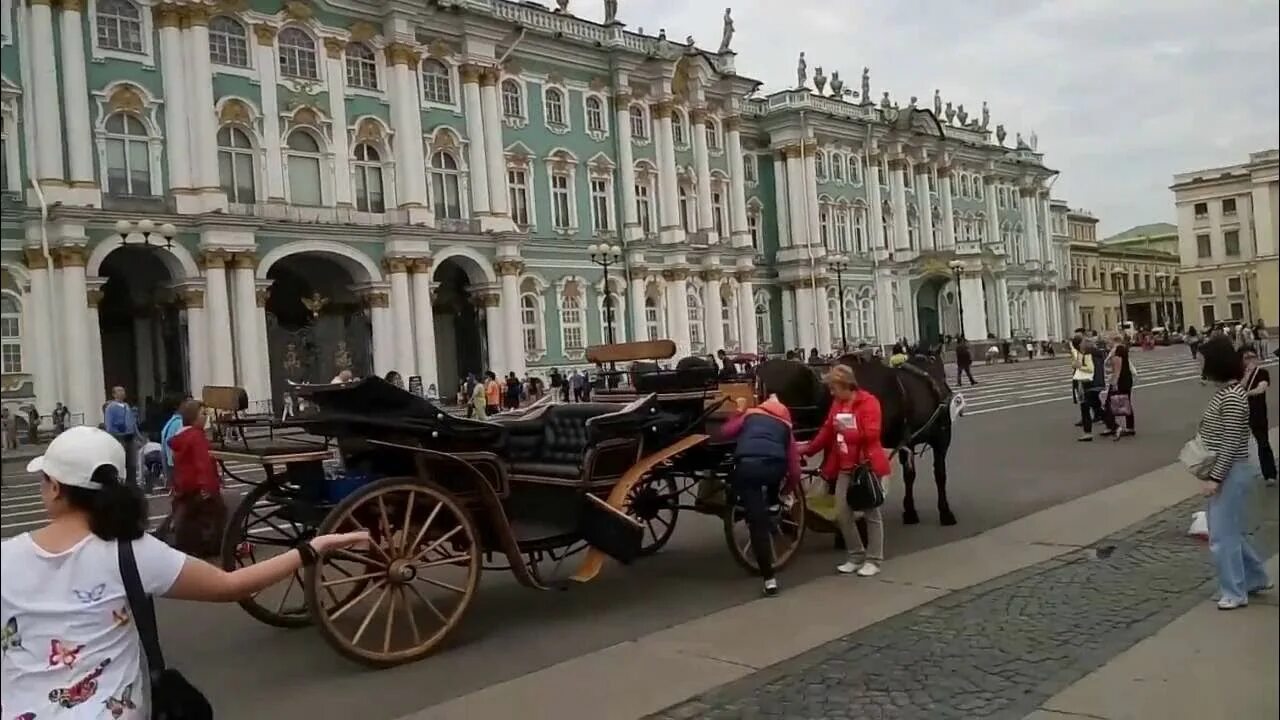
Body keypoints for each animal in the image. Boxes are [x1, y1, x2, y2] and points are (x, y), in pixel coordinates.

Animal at [752, 351, 957, 525]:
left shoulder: (907, 442)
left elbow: (910, 475)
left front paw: (910, 511)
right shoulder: (942, 439)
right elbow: (940, 475)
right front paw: (945, 512)